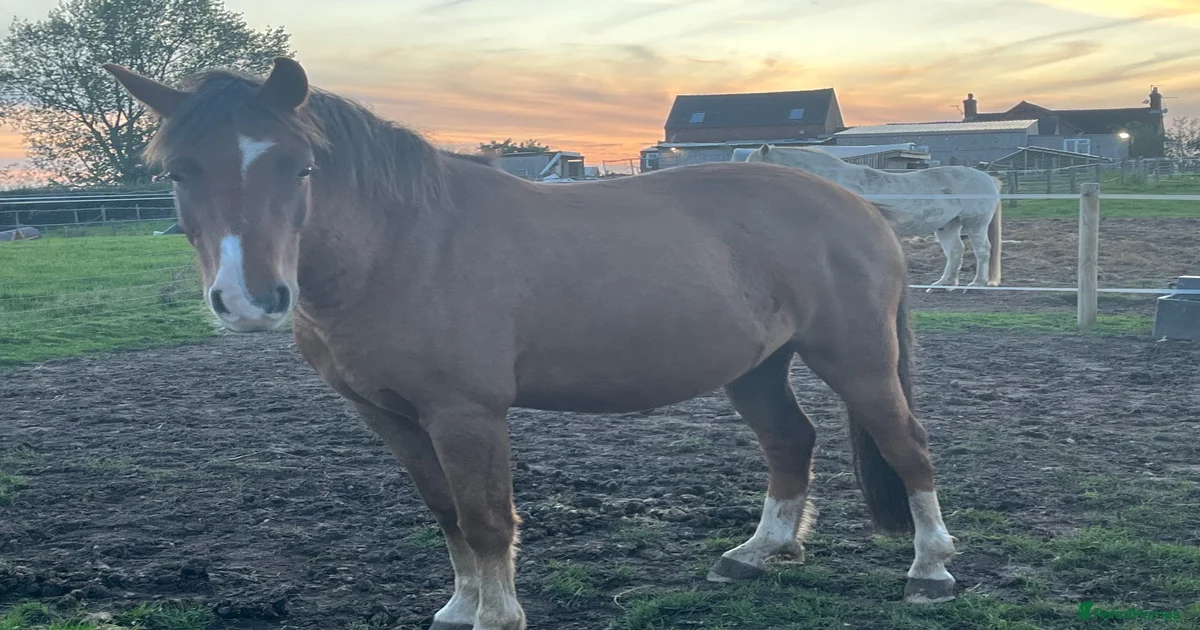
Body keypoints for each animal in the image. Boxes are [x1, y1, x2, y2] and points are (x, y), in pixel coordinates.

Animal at [104, 58, 958, 630]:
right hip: (757, 367)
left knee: (909, 445)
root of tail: (860, 206)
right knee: (791, 442)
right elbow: (446, 512)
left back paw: (930, 570)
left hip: (856, 359)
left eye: (299, 165)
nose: (252, 299)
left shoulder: (466, 414)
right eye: (179, 172)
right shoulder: (391, 415)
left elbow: (487, 519)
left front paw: (497, 616)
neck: (402, 246)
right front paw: (457, 608)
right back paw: (756, 553)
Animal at [737, 144, 1003, 291]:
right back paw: (943, 284)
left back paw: (977, 284)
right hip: (948, 226)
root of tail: (987, 177)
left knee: (982, 251)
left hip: (975, 224)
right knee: (956, 252)